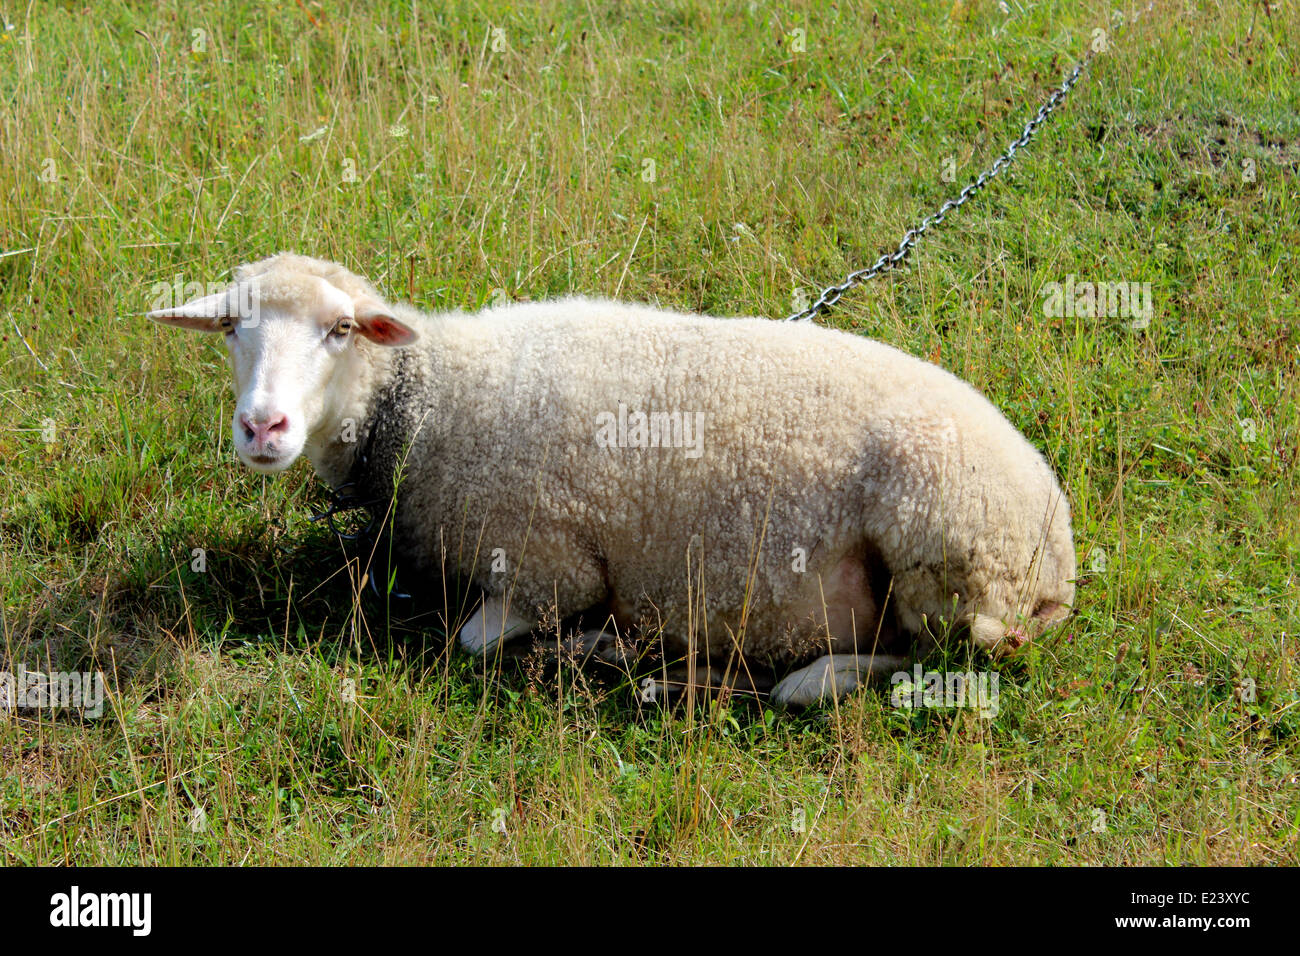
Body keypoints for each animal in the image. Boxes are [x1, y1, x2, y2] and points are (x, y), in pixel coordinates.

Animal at [147, 252, 1076, 708]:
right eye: (231, 329)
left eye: (341, 330)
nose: (262, 427)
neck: (427, 402)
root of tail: (1059, 554)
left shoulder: (547, 566)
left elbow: (474, 639)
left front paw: (576, 641)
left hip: (945, 551)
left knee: (933, 654)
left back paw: (792, 678)